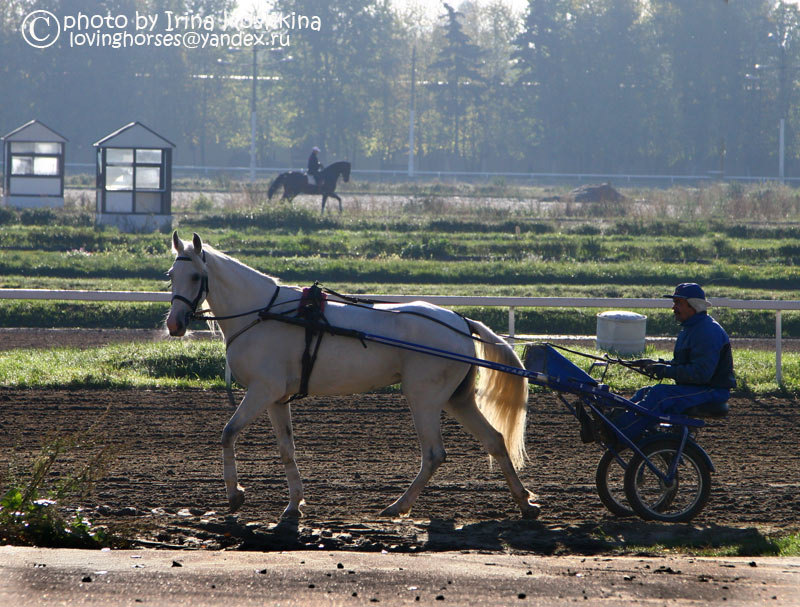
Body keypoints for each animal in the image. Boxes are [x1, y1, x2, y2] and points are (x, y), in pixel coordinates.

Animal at [166, 234, 540, 524]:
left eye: (197, 276)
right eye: (171, 275)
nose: (174, 324)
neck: (264, 313)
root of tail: (460, 321)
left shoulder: (261, 391)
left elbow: (228, 433)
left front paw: (235, 494)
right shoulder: (276, 398)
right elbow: (287, 450)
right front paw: (294, 504)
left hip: (424, 398)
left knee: (434, 454)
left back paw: (398, 505)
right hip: (456, 398)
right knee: (494, 440)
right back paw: (524, 502)